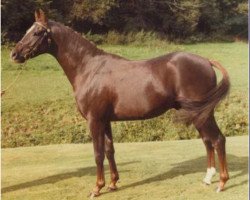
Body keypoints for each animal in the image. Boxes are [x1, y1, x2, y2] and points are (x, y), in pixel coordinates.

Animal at [11, 9, 230, 197]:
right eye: (27, 30)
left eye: (37, 32)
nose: (14, 54)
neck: (89, 68)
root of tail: (206, 61)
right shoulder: (106, 120)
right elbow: (110, 151)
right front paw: (113, 183)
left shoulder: (94, 121)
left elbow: (98, 153)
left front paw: (97, 188)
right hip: (198, 113)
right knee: (208, 141)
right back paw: (208, 178)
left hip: (203, 113)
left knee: (218, 140)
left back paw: (221, 182)